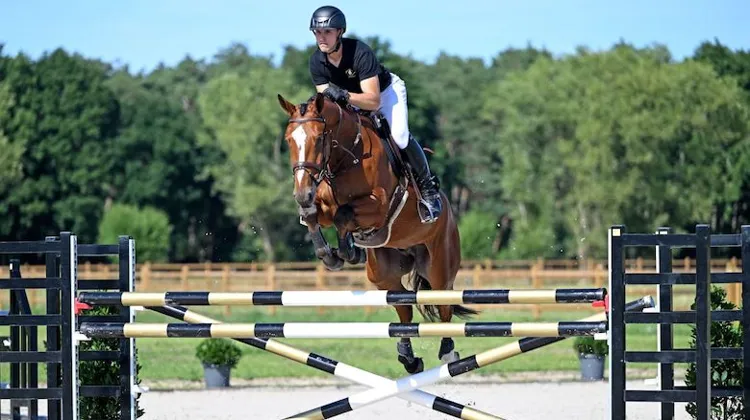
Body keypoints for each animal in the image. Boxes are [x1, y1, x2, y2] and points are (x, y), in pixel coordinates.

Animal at [277, 92, 477, 373]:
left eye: (318, 138)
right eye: (288, 140)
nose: (302, 193)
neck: (346, 157)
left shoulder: (379, 205)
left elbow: (343, 214)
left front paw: (347, 251)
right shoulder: (323, 206)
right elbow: (313, 216)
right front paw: (331, 254)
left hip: (439, 266)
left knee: (443, 304)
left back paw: (448, 352)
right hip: (383, 272)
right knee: (403, 306)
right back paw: (409, 358)